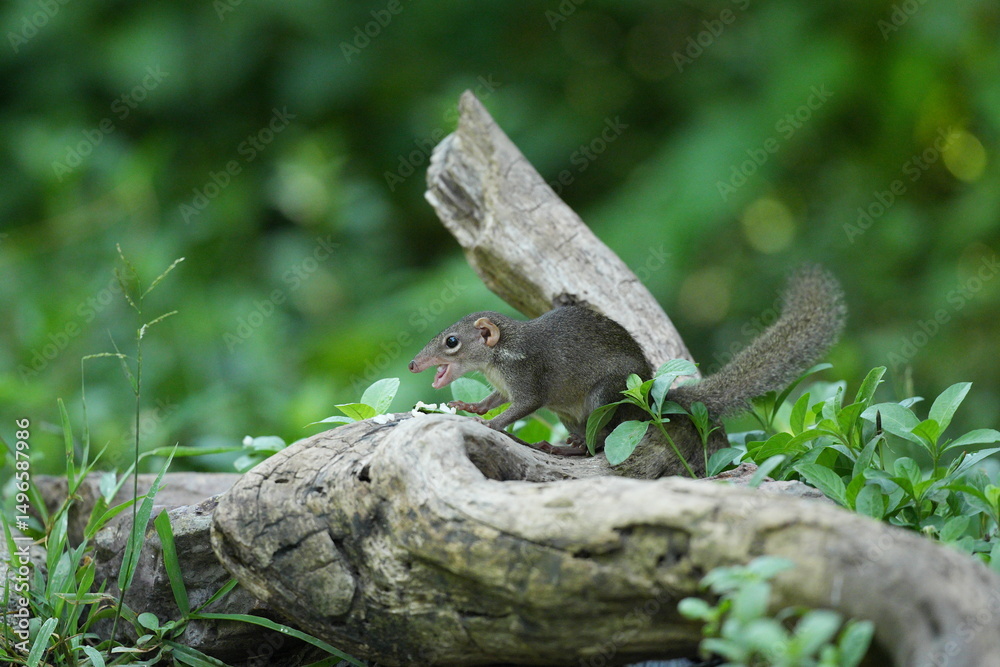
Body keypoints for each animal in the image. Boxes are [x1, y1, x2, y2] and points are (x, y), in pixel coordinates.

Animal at [409, 265, 846, 459]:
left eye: (451, 342)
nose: (413, 365)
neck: (498, 359)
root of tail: (649, 394)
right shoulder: (503, 385)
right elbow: (494, 400)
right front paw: (469, 406)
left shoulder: (528, 377)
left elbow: (521, 406)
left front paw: (490, 425)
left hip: (605, 395)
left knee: (598, 444)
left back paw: (562, 449)